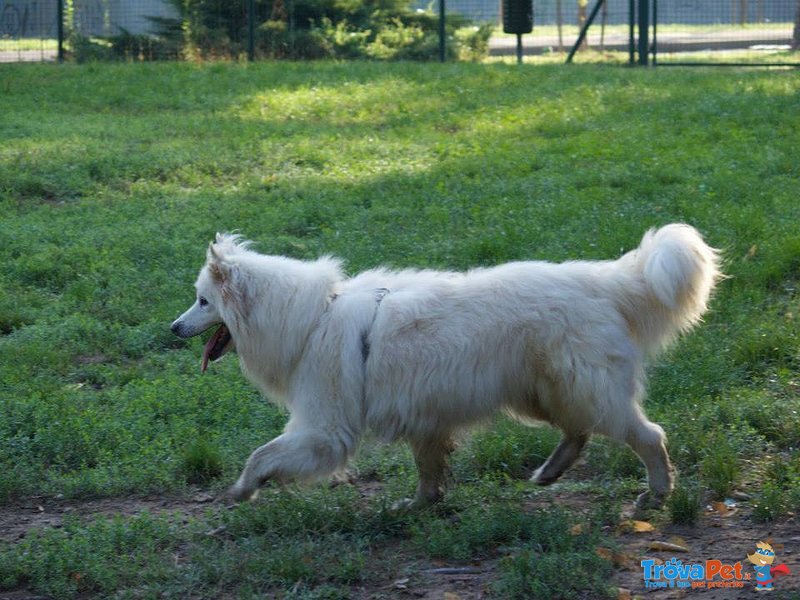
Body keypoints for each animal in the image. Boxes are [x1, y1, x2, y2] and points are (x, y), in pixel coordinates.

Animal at [172, 223, 720, 508]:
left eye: (202, 301)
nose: (173, 328)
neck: (311, 317)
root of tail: (604, 282)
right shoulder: (426, 421)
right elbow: (429, 474)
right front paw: (418, 507)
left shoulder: (324, 431)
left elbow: (262, 456)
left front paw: (241, 490)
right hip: (543, 393)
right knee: (578, 433)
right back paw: (549, 472)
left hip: (586, 392)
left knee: (648, 436)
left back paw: (657, 493)